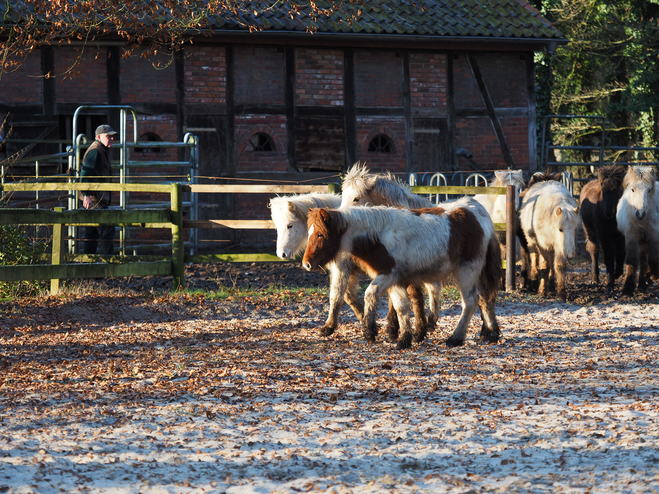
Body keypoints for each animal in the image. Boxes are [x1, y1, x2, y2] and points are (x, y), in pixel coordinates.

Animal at [302, 202, 500, 352]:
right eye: (309, 233)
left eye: (320, 234)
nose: (306, 264)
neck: (378, 235)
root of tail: (478, 212)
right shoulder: (395, 280)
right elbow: (401, 307)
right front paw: (404, 339)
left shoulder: (389, 274)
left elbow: (370, 294)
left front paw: (370, 332)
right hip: (477, 272)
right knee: (485, 299)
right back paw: (491, 334)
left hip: (467, 271)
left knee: (471, 301)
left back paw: (456, 338)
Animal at [580, 164, 628, 292]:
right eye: (603, 189)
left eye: (616, 190)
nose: (608, 212)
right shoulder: (604, 235)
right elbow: (609, 257)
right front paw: (609, 282)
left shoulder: (620, 235)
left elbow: (621, 253)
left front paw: (617, 274)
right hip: (591, 233)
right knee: (594, 252)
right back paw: (595, 279)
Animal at [616, 166, 656, 296]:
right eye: (633, 189)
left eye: (649, 190)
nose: (640, 214)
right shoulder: (632, 237)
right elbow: (632, 260)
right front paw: (628, 288)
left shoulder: (654, 236)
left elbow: (653, 259)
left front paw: (651, 276)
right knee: (642, 260)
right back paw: (642, 284)